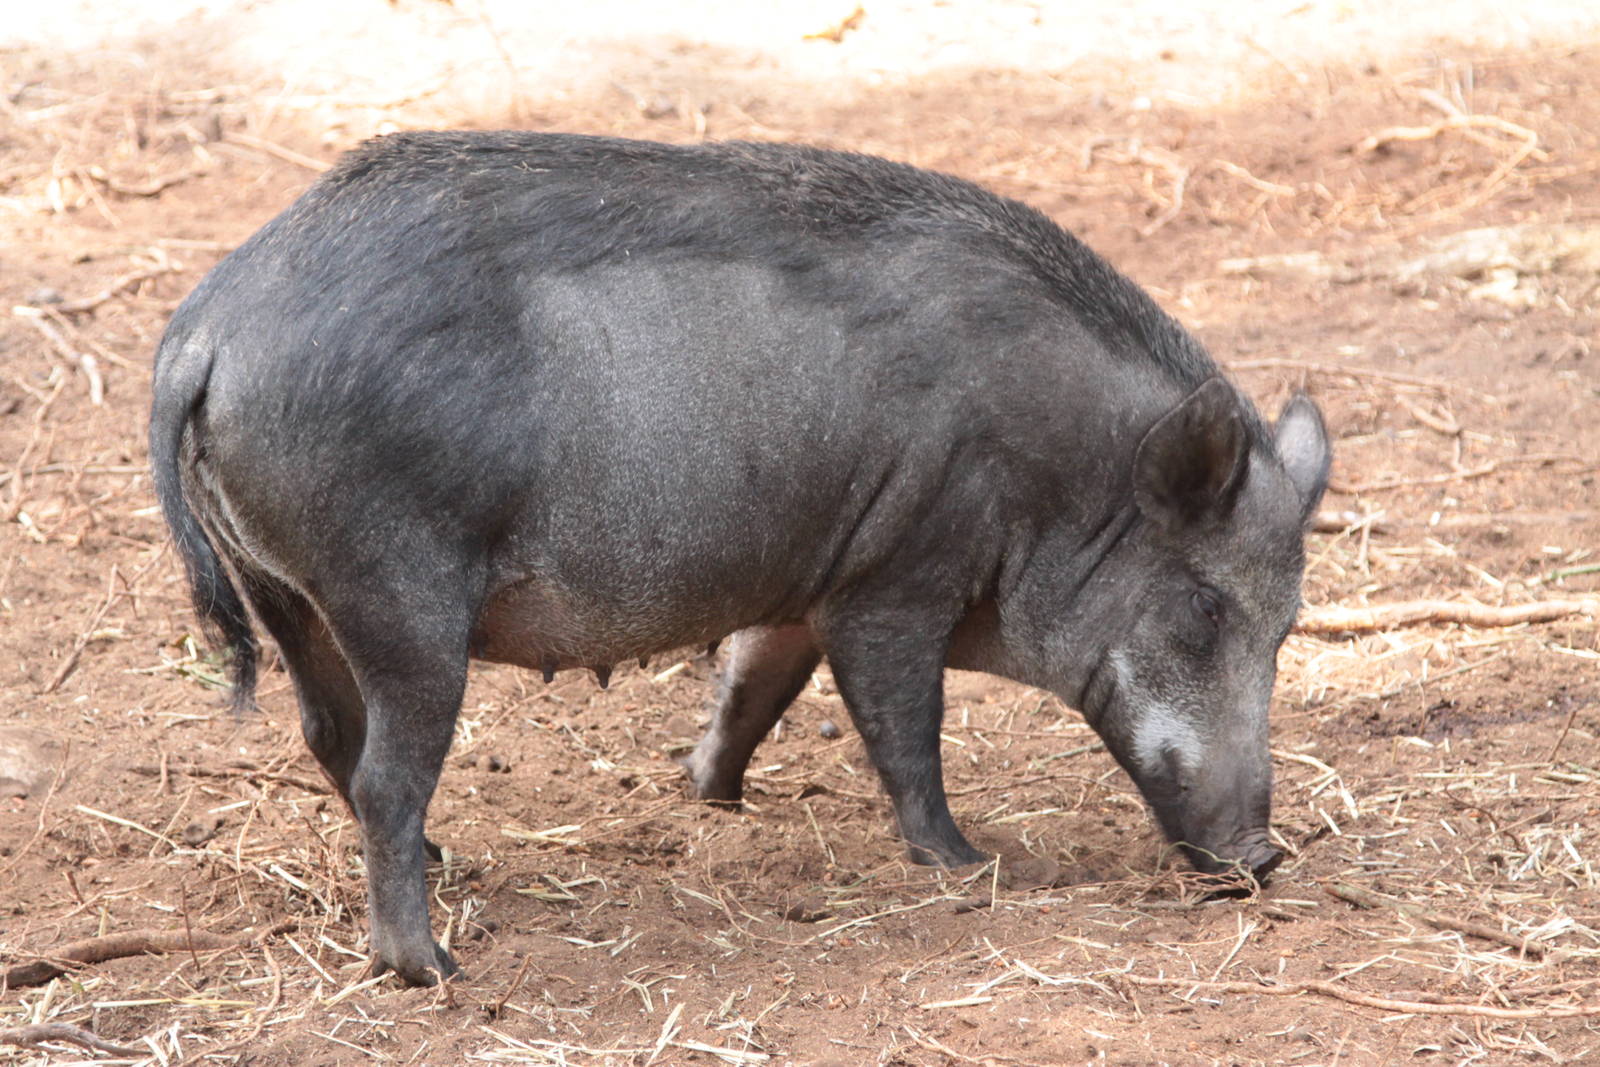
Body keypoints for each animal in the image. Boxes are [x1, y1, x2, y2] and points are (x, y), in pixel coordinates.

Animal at [149, 131, 1330, 985]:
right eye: (1206, 609)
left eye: (1289, 623)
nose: (1266, 854)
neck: (1060, 478)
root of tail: (206, 328)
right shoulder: (896, 578)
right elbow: (906, 730)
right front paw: (971, 862)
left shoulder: (807, 581)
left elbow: (753, 685)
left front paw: (708, 794)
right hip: (399, 594)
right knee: (385, 770)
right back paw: (431, 966)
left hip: (289, 591)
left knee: (325, 733)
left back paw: (444, 869)